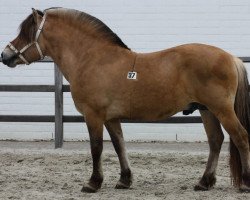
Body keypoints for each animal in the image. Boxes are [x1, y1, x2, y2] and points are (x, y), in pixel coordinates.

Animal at [0, 7, 249, 192]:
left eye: (27, 32)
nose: (5, 55)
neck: (94, 59)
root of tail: (230, 57)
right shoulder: (111, 118)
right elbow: (119, 145)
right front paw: (124, 180)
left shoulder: (93, 115)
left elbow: (97, 147)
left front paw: (93, 183)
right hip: (206, 110)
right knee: (216, 140)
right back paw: (204, 182)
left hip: (221, 109)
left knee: (240, 137)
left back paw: (245, 182)